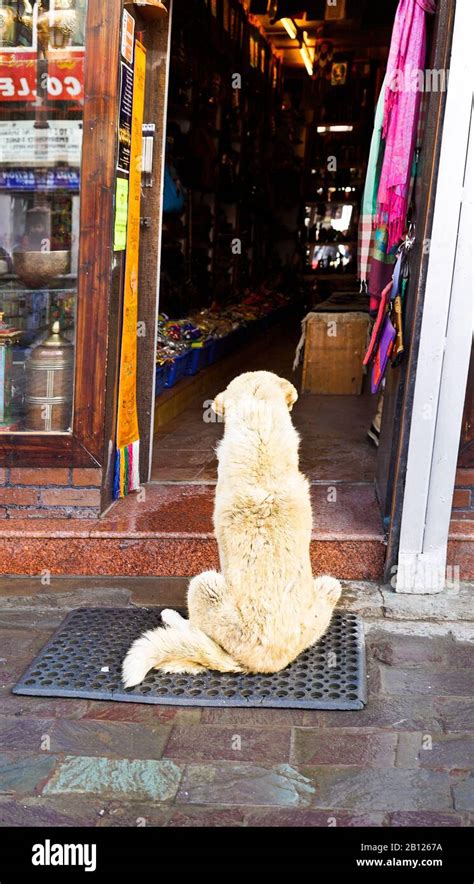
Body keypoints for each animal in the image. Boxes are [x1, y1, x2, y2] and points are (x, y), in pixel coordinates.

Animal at [123, 370, 340, 688]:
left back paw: (173, 618)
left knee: (195, 630)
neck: (260, 435)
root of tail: (262, 664)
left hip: (203, 584)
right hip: (329, 586)